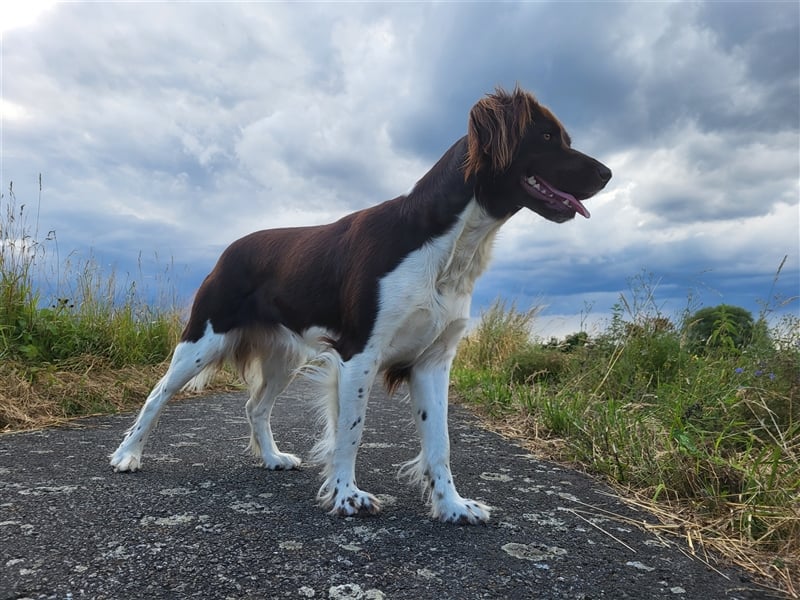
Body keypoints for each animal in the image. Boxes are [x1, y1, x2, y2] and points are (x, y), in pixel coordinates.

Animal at [111, 85, 612, 524]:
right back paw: (127, 455)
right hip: (203, 339)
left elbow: (441, 444)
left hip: (285, 355)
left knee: (256, 406)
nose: (608, 174)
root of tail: (230, 248)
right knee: (157, 394)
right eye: (545, 137)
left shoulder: (433, 361)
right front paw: (346, 497)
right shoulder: (360, 354)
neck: (444, 245)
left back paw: (272, 456)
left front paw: (452, 506)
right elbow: (351, 432)